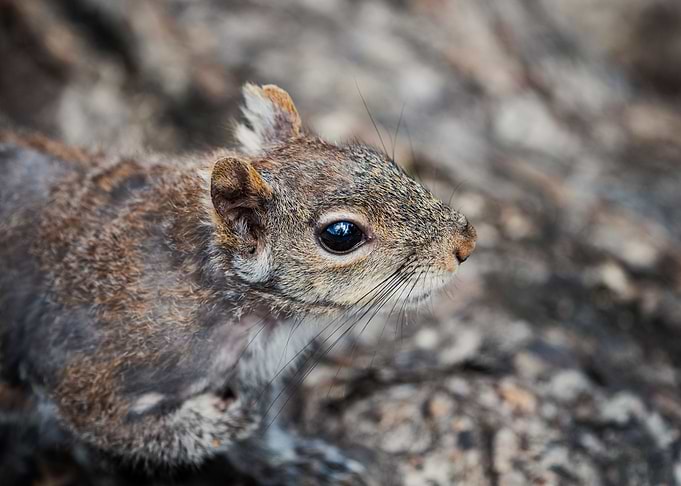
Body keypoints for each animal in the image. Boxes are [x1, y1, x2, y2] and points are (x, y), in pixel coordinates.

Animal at [0, 84, 476, 484]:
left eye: (378, 159)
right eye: (341, 234)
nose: (466, 243)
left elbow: (265, 433)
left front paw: (297, 459)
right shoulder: (87, 367)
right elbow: (114, 424)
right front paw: (226, 421)